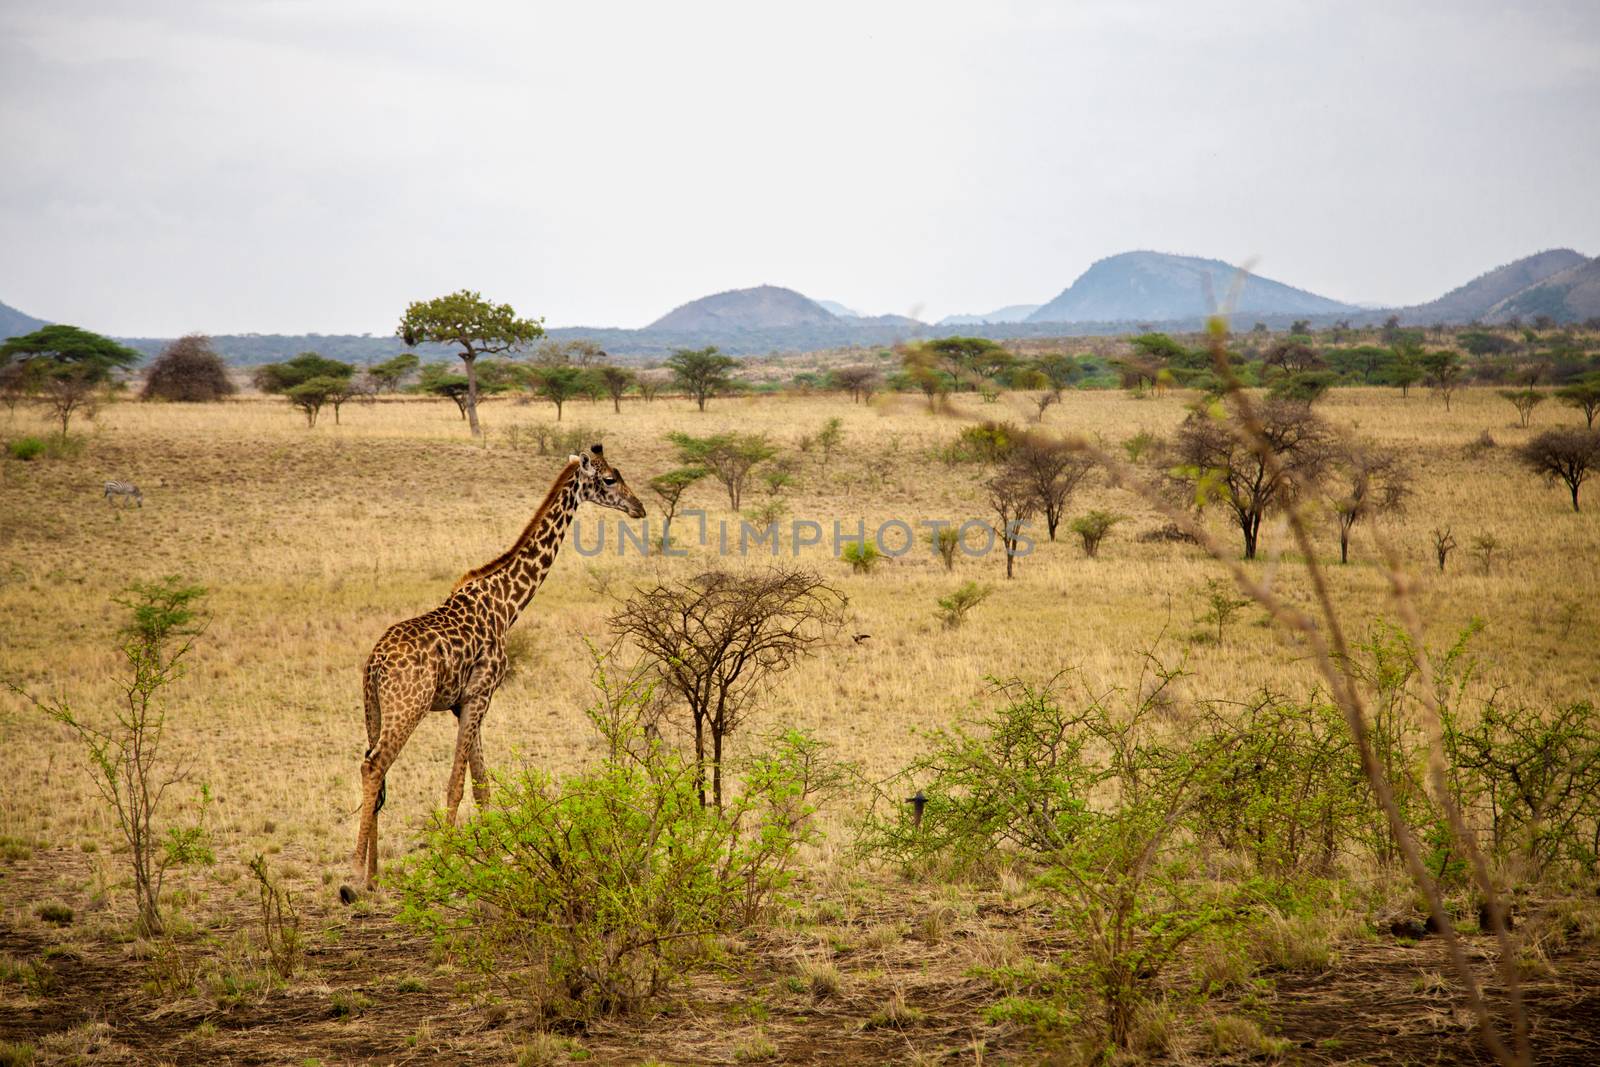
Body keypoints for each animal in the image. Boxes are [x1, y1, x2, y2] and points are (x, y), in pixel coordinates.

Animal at [340, 444, 646, 902]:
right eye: (610, 479)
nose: (639, 507)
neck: (507, 603)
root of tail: (373, 664)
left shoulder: (465, 702)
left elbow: (481, 782)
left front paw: (493, 861)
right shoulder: (480, 694)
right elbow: (458, 782)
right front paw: (448, 865)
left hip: (375, 711)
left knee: (375, 771)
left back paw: (374, 877)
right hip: (408, 707)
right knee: (374, 767)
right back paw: (354, 878)